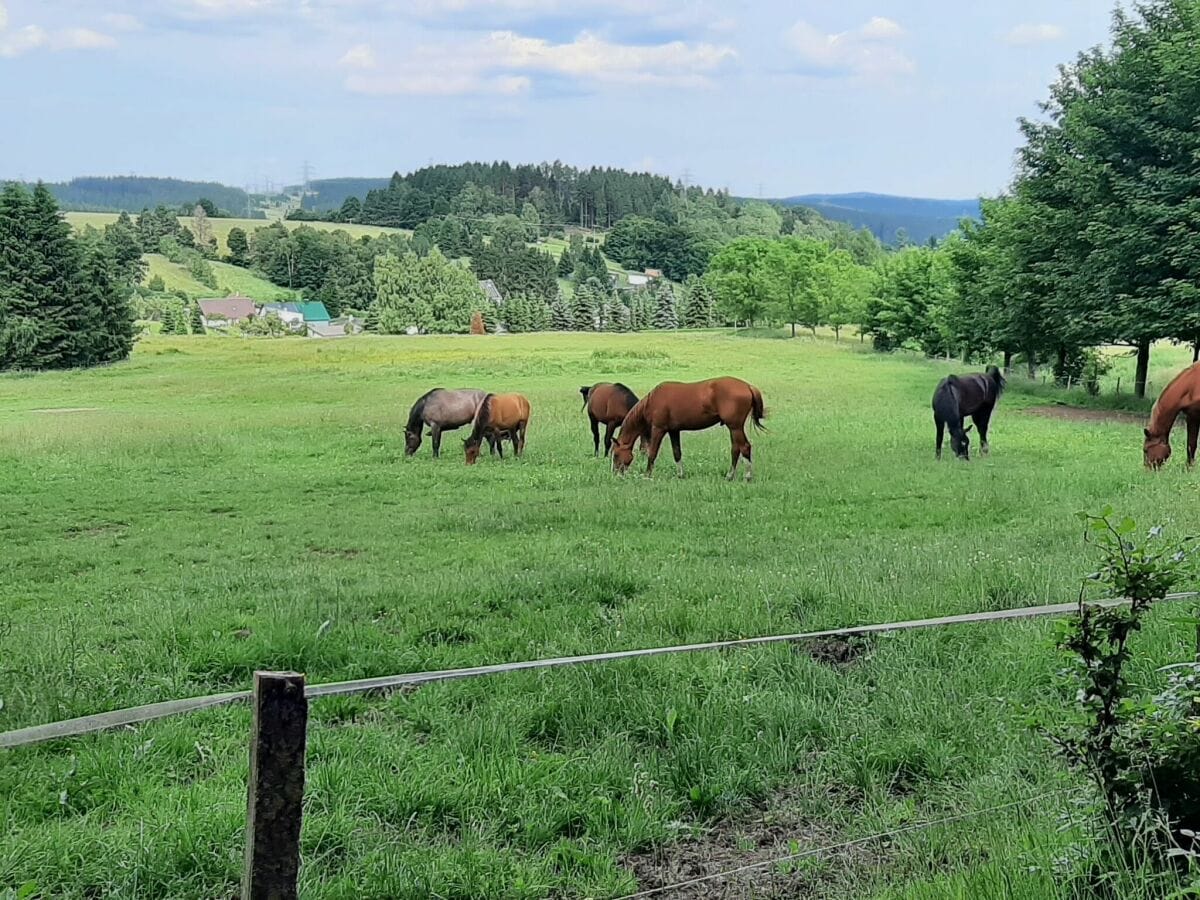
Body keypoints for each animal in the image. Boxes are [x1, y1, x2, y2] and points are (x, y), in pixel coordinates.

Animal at [614, 376, 763, 482]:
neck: (652, 401)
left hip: (735, 427)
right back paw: (730, 476)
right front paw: (680, 475)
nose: (616, 474)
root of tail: (748, 387)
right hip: (733, 428)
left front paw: (647, 475)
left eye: (615, 455)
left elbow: (652, 453)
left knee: (744, 447)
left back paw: (747, 476)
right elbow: (677, 453)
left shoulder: (658, 429)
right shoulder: (673, 431)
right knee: (736, 449)